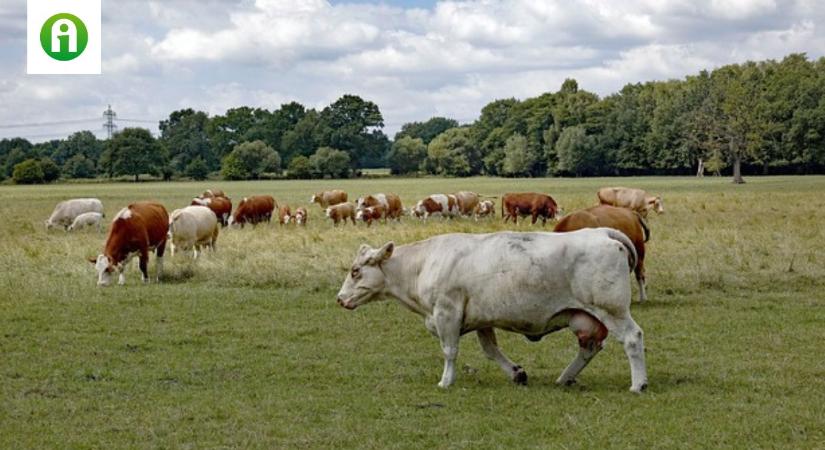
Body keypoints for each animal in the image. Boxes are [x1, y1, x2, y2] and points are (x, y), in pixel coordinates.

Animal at [338, 230, 648, 392]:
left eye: (355, 271)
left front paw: (445, 381)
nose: (340, 299)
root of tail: (601, 232)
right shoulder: (479, 318)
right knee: (590, 347)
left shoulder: (446, 313)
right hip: (585, 316)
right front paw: (516, 374)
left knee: (632, 339)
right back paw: (565, 378)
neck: (424, 263)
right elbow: (490, 350)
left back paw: (638, 384)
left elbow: (449, 351)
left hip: (612, 309)